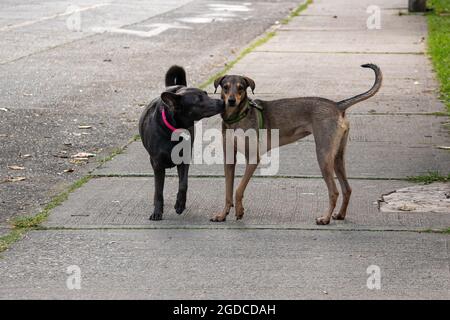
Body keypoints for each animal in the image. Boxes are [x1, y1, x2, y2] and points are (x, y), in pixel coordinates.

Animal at [140, 65, 224, 220]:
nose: (222, 102)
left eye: (206, 94)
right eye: (199, 100)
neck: (173, 129)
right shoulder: (157, 164)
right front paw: (157, 211)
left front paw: (180, 204)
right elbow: (159, 190)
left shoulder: (184, 159)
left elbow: (183, 184)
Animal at [213, 64, 382, 225]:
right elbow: (228, 192)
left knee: (334, 191)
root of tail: (337, 105)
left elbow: (238, 189)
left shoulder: (253, 159)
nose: (231, 101)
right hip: (337, 157)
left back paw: (325, 219)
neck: (237, 118)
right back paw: (340, 215)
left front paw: (239, 210)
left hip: (323, 155)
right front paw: (222, 215)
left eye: (241, 87)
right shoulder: (229, 160)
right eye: (225, 87)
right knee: (347, 189)